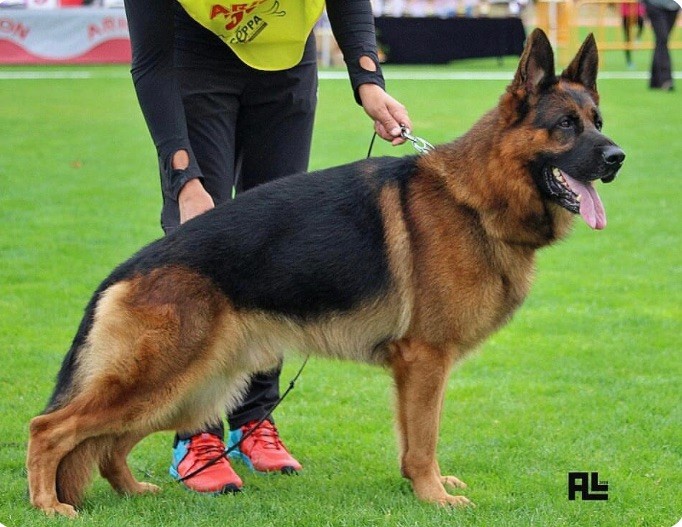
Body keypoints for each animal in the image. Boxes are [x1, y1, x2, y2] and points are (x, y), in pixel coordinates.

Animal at [26, 27, 620, 516]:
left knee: (107, 444)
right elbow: (424, 439)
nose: (618, 157)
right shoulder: (425, 361)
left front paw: (422, 487)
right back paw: (48, 504)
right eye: (565, 126)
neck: (474, 197)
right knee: (50, 428)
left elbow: (413, 441)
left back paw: (131, 491)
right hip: (164, 379)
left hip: (192, 387)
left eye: (597, 123)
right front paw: (434, 496)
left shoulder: (418, 369)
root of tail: (125, 271)